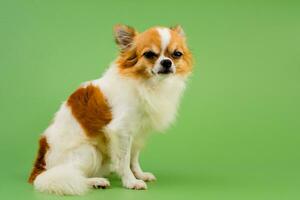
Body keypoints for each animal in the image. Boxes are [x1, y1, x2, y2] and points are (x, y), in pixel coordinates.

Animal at [28, 24, 192, 195]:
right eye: (149, 54)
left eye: (177, 54)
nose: (167, 62)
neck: (148, 84)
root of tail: (39, 170)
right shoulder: (121, 131)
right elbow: (124, 160)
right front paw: (131, 181)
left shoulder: (137, 132)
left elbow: (133, 158)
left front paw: (139, 174)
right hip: (90, 152)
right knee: (72, 175)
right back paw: (95, 181)